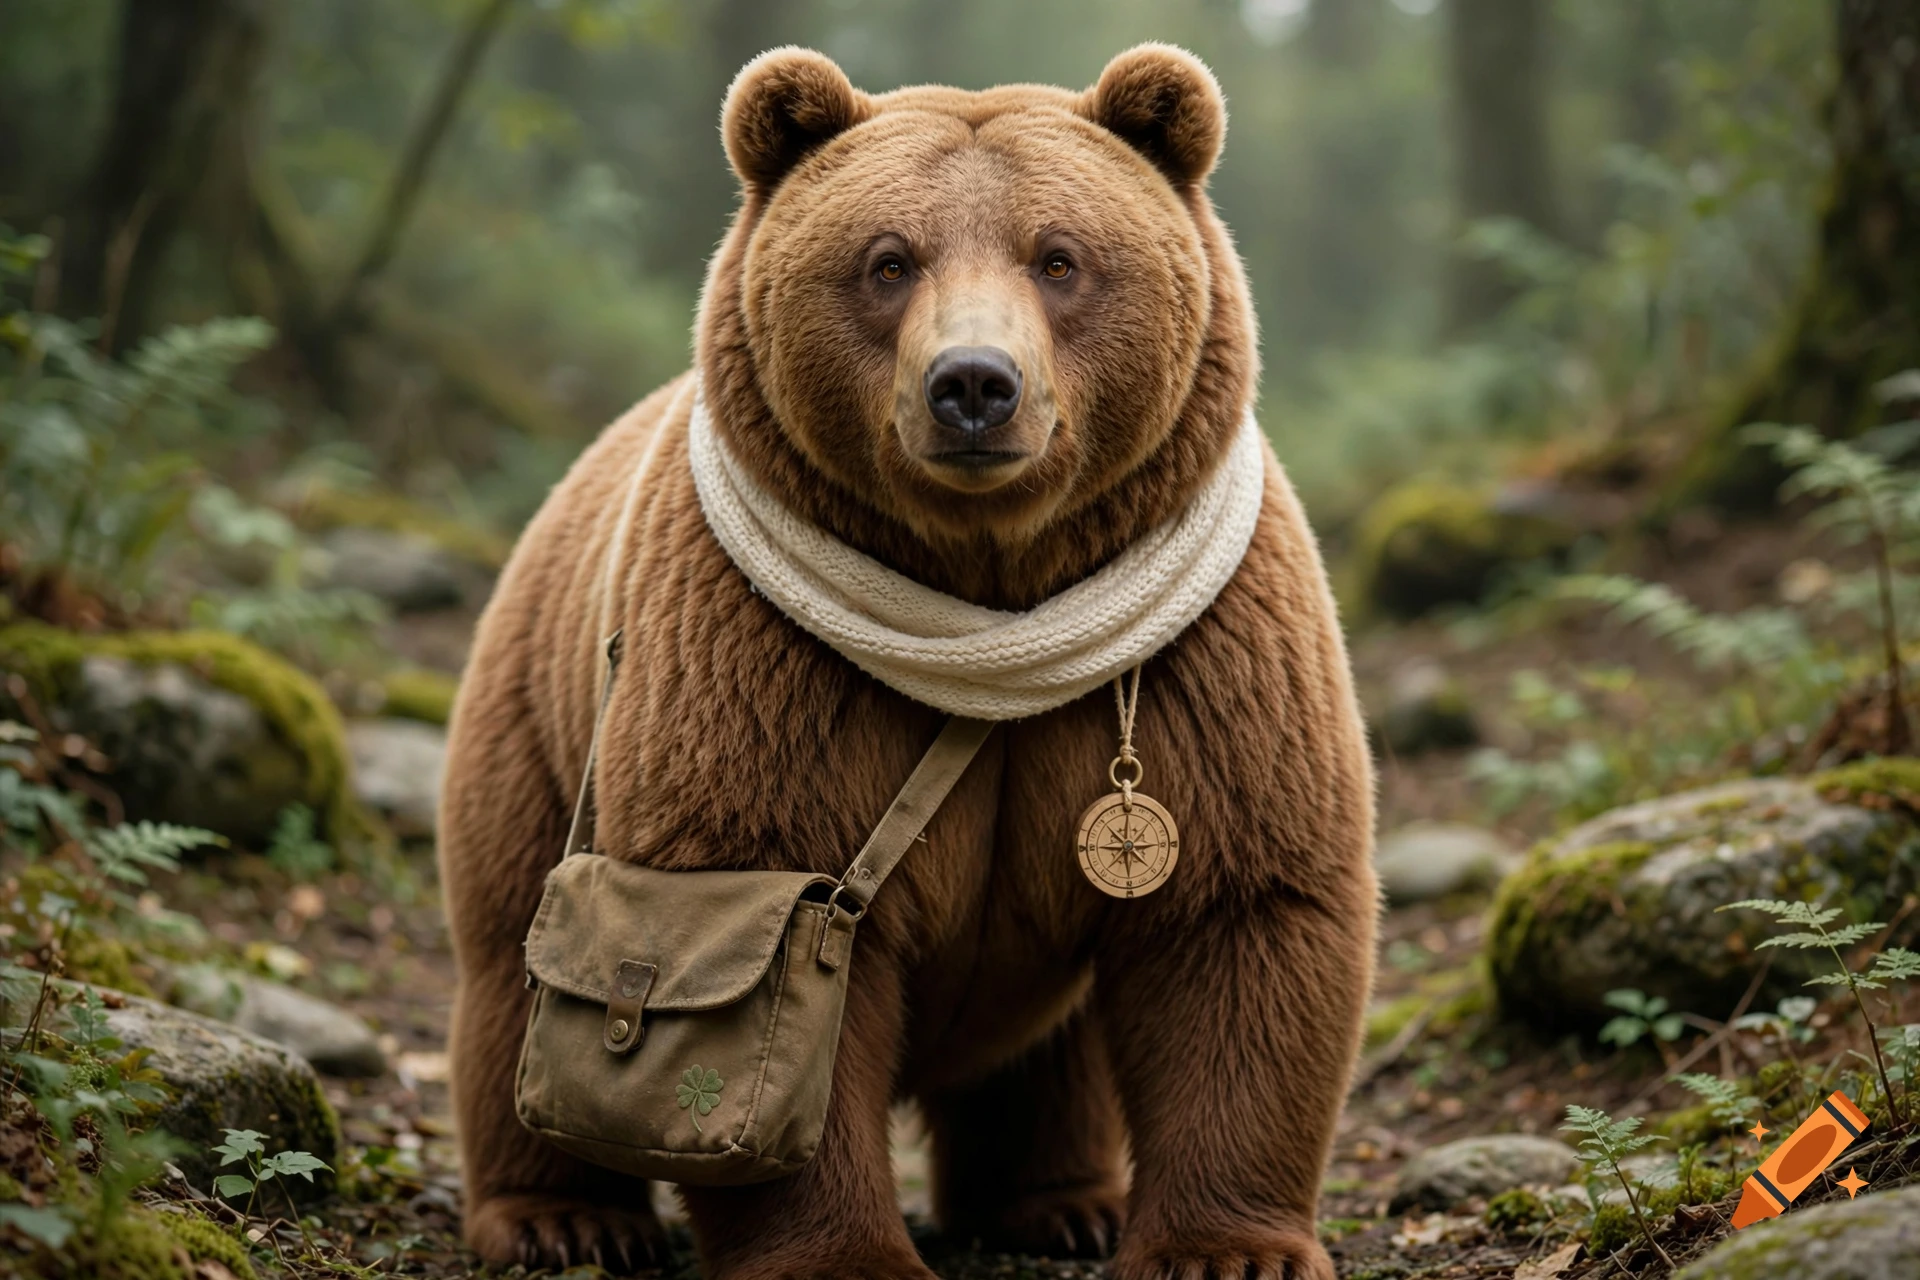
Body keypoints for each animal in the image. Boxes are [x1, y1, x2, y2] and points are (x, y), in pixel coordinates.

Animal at [439, 43, 1376, 1280]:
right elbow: (768, 934)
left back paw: (1063, 1200)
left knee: (1052, 1046)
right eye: (888, 260)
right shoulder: (767, 667)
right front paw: (839, 1251)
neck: (994, 597)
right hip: (536, 729)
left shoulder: (1205, 661)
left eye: (1059, 256)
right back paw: (562, 1217)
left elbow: (1238, 912)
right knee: (514, 964)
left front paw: (1226, 1247)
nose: (974, 383)